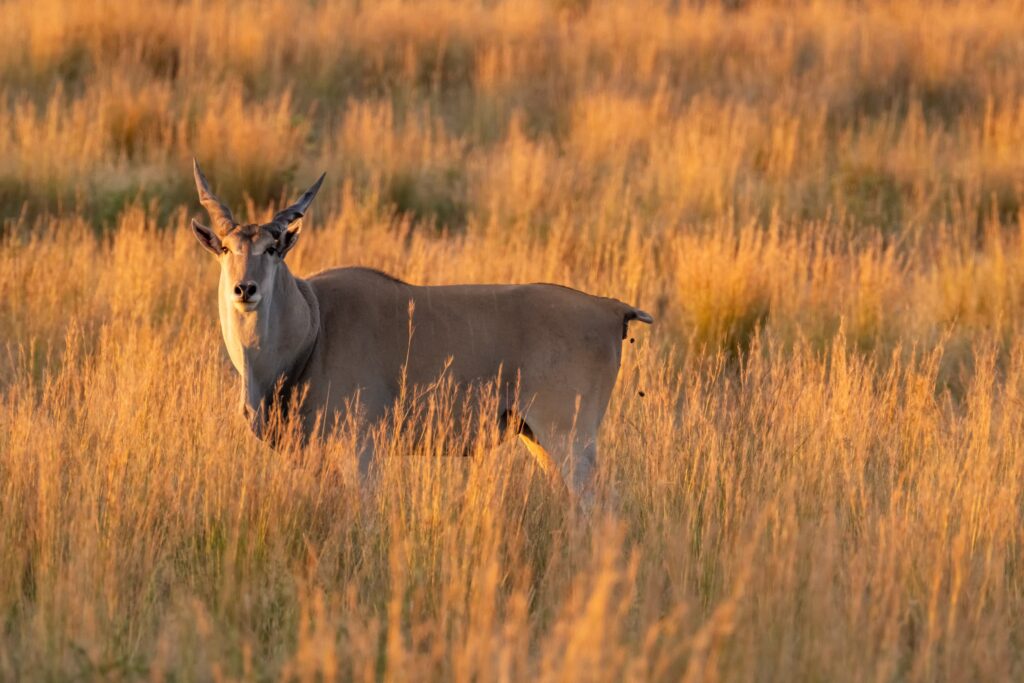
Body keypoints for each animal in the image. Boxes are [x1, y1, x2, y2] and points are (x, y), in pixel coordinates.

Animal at [190, 161, 655, 497]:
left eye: (272, 249)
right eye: (226, 248)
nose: (244, 288)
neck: (314, 325)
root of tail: (611, 310)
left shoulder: (362, 448)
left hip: (568, 437)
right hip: (538, 438)